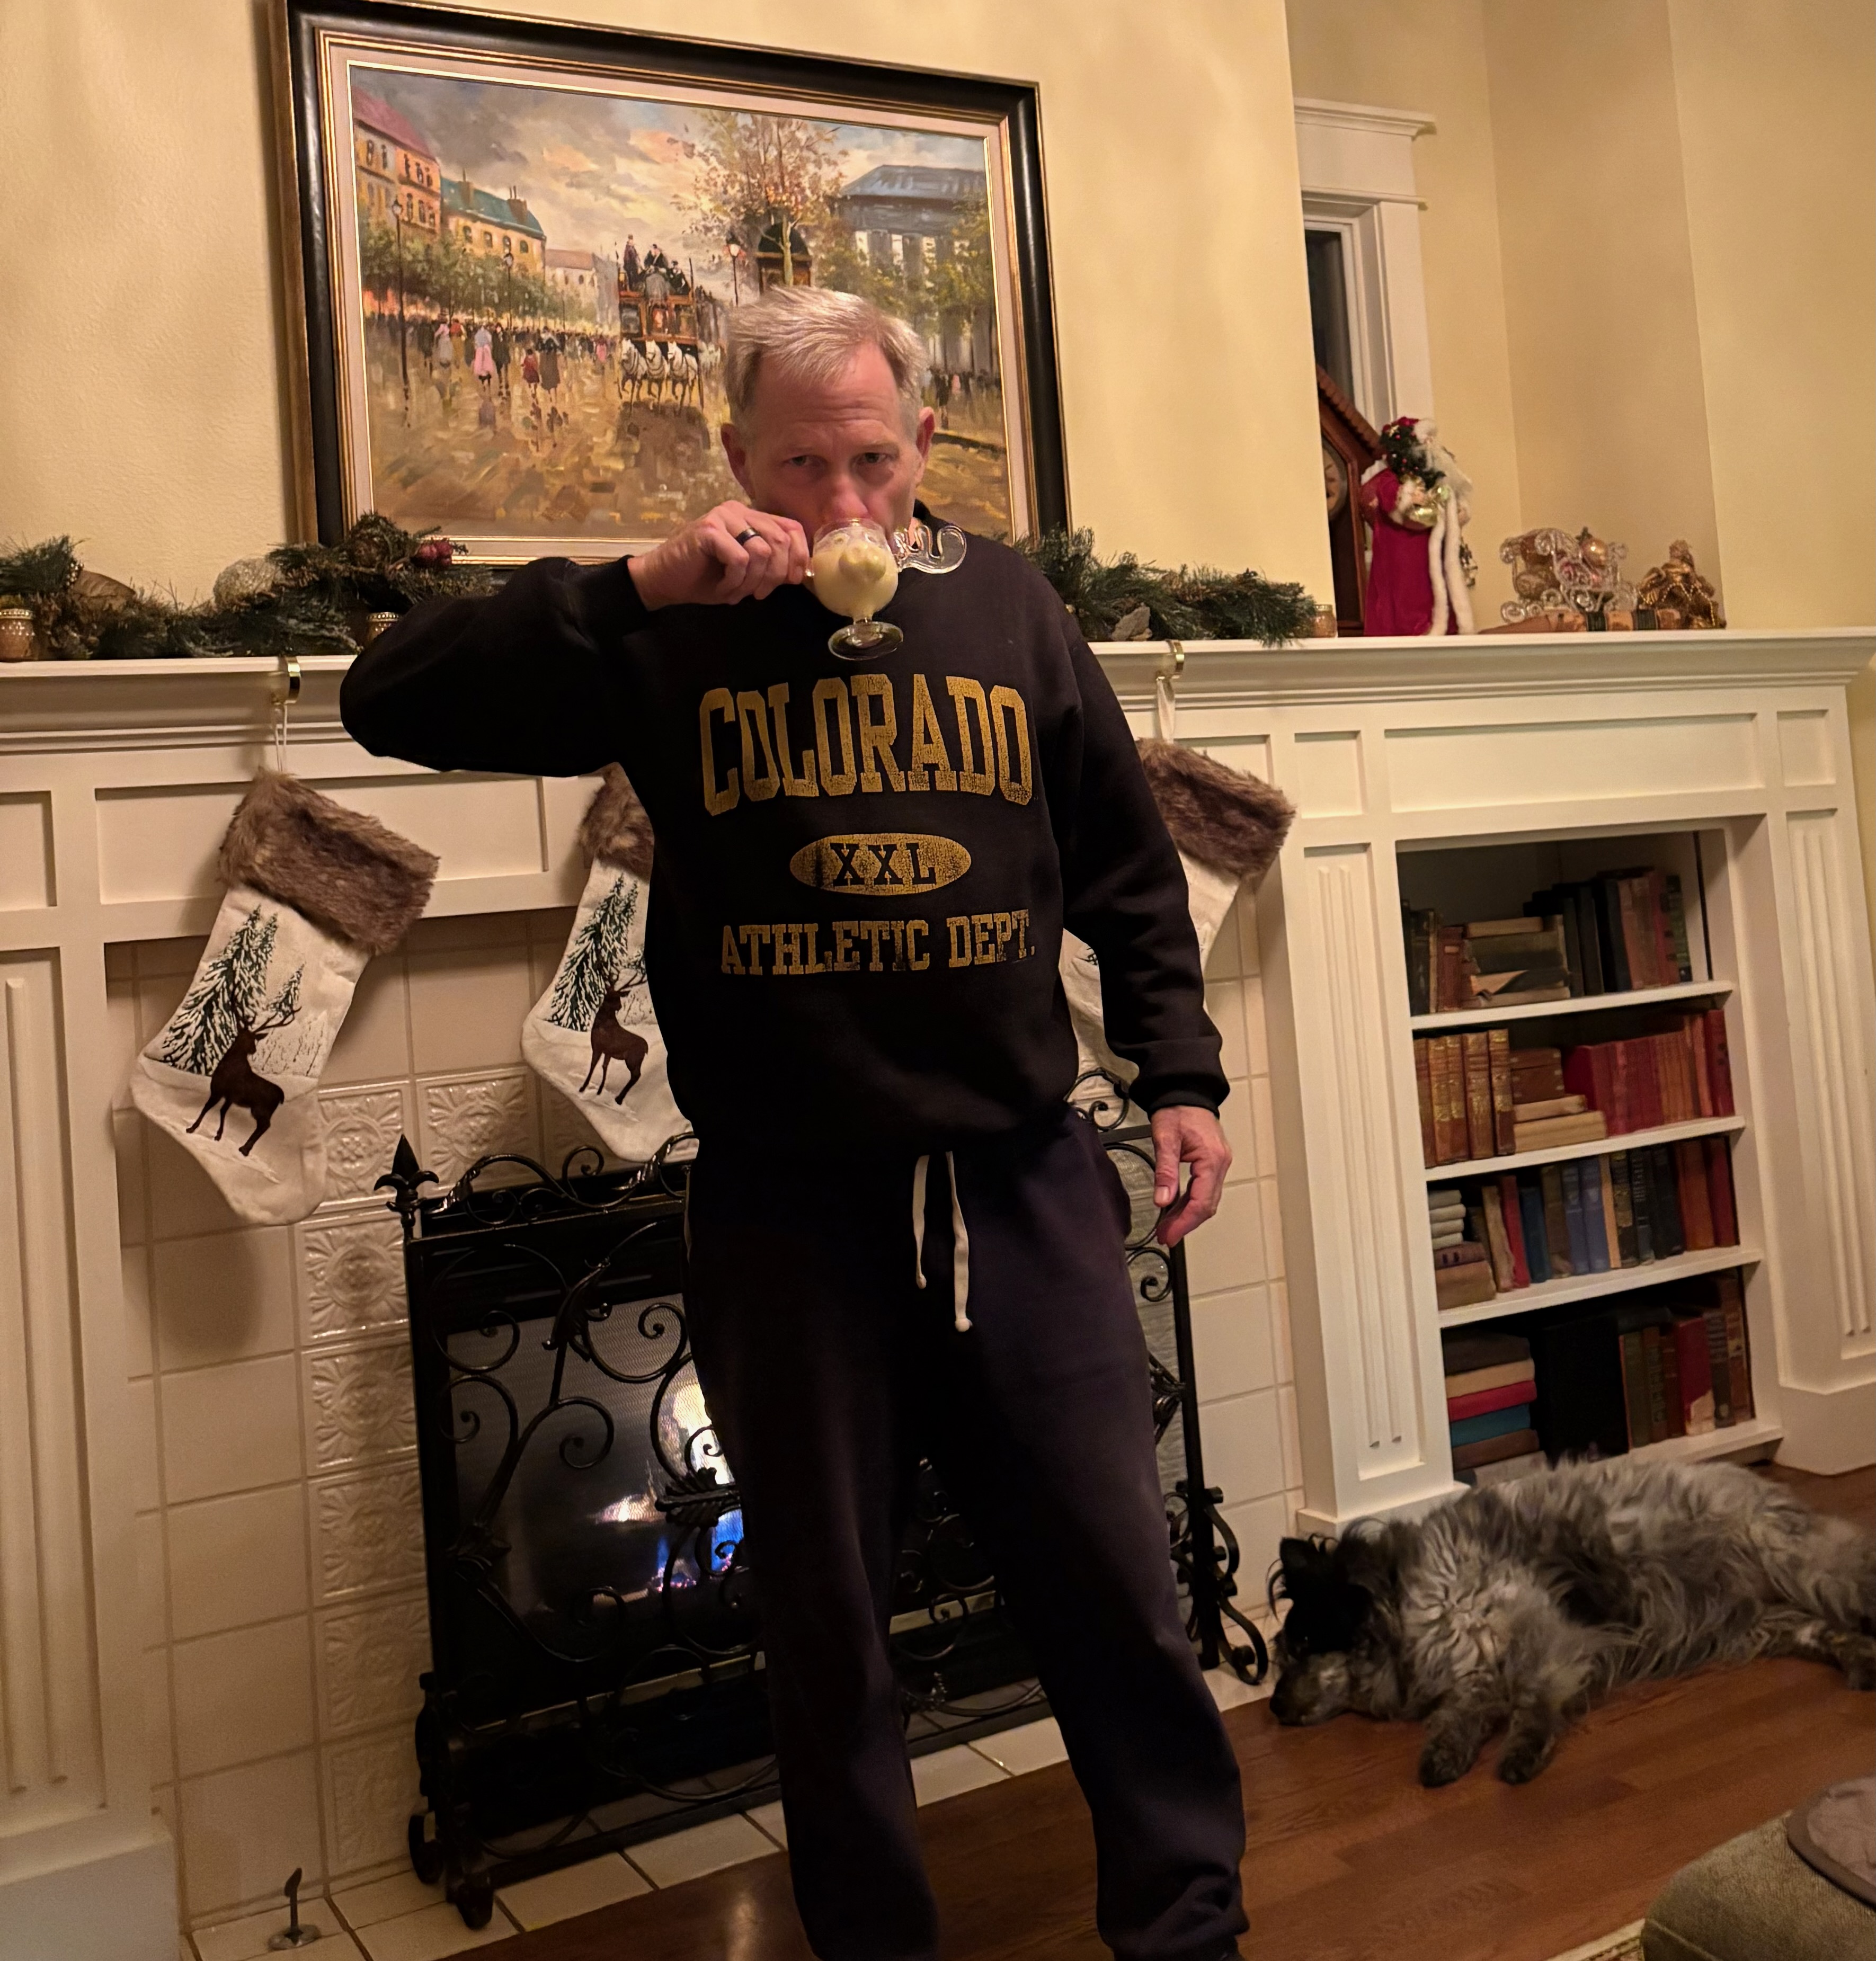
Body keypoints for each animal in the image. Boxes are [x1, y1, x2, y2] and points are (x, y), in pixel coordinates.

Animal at [1268, 1458, 1876, 1786]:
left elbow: (1531, 1701)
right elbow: (1461, 1714)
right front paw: (1443, 1757)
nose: (1272, 1707)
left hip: (1799, 1564)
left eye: (1304, 1642)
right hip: (1758, 1624)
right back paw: (1862, 1661)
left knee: (1853, 1585)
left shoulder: (1541, 1634)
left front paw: (1521, 1754)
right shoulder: (1473, 1664)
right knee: (1822, 1630)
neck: (1402, 1600)